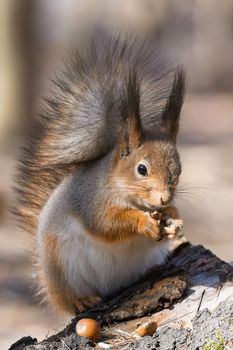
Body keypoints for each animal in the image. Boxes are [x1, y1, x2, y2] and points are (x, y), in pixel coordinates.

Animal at [14, 30, 186, 314]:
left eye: (179, 169)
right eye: (141, 169)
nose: (164, 199)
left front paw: (174, 219)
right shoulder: (91, 201)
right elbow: (107, 223)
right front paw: (144, 223)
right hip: (61, 267)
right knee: (66, 299)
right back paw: (79, 300)